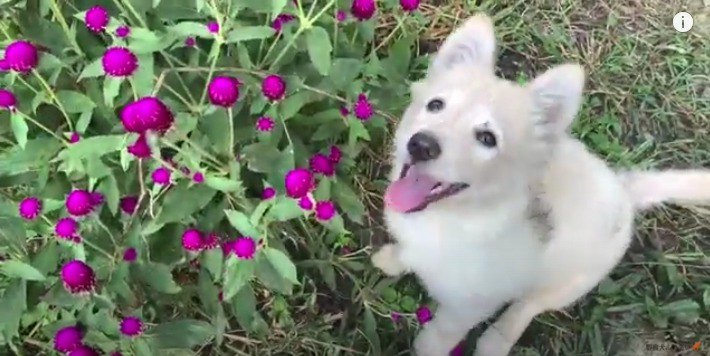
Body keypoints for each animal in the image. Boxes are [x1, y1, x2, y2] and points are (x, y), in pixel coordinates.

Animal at [372, 13, 710, 356]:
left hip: (568, 281)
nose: (420, 145)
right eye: (436, 105)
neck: (457, 218)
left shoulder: (471, 305)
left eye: (487, 138)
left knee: (530, 304)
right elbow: (407, 251)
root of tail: (624, 190)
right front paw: (393, 259)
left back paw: (497, 339)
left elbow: (441, 331)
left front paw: (426, 347)